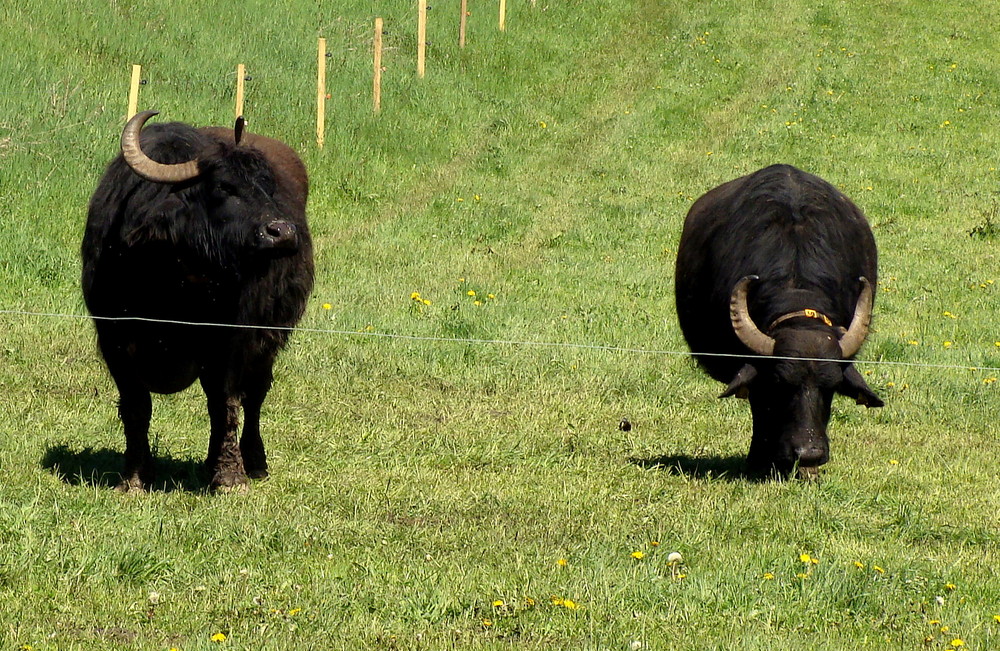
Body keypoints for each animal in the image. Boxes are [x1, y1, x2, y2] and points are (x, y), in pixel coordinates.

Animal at [82, 111, 312, 488]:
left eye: (267, 185)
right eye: (223, 187)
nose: (283, 232)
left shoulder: (230, 340)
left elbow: (224, 403)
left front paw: (230, 477)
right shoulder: (114, 339)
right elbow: (135, 406)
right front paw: (135, 477)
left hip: (269, 338)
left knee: (255, 395)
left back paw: (254, 461)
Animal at [672, 164, 884, 478]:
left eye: (832, 386)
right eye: (779, 384)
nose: (809, 453)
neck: (796, 284)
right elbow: (760, 412)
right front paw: (761, 461)